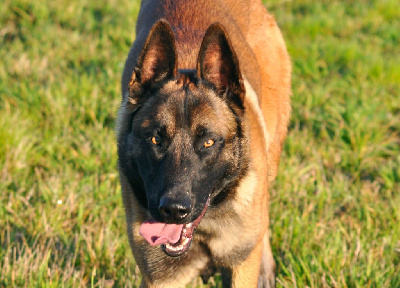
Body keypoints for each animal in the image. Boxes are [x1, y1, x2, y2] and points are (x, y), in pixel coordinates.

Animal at [116, 0, 290, 286]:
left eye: (208, 142)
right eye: (155, 139)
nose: (173, 211)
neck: (205, 225)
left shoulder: (240, 267)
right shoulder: (161, 277)